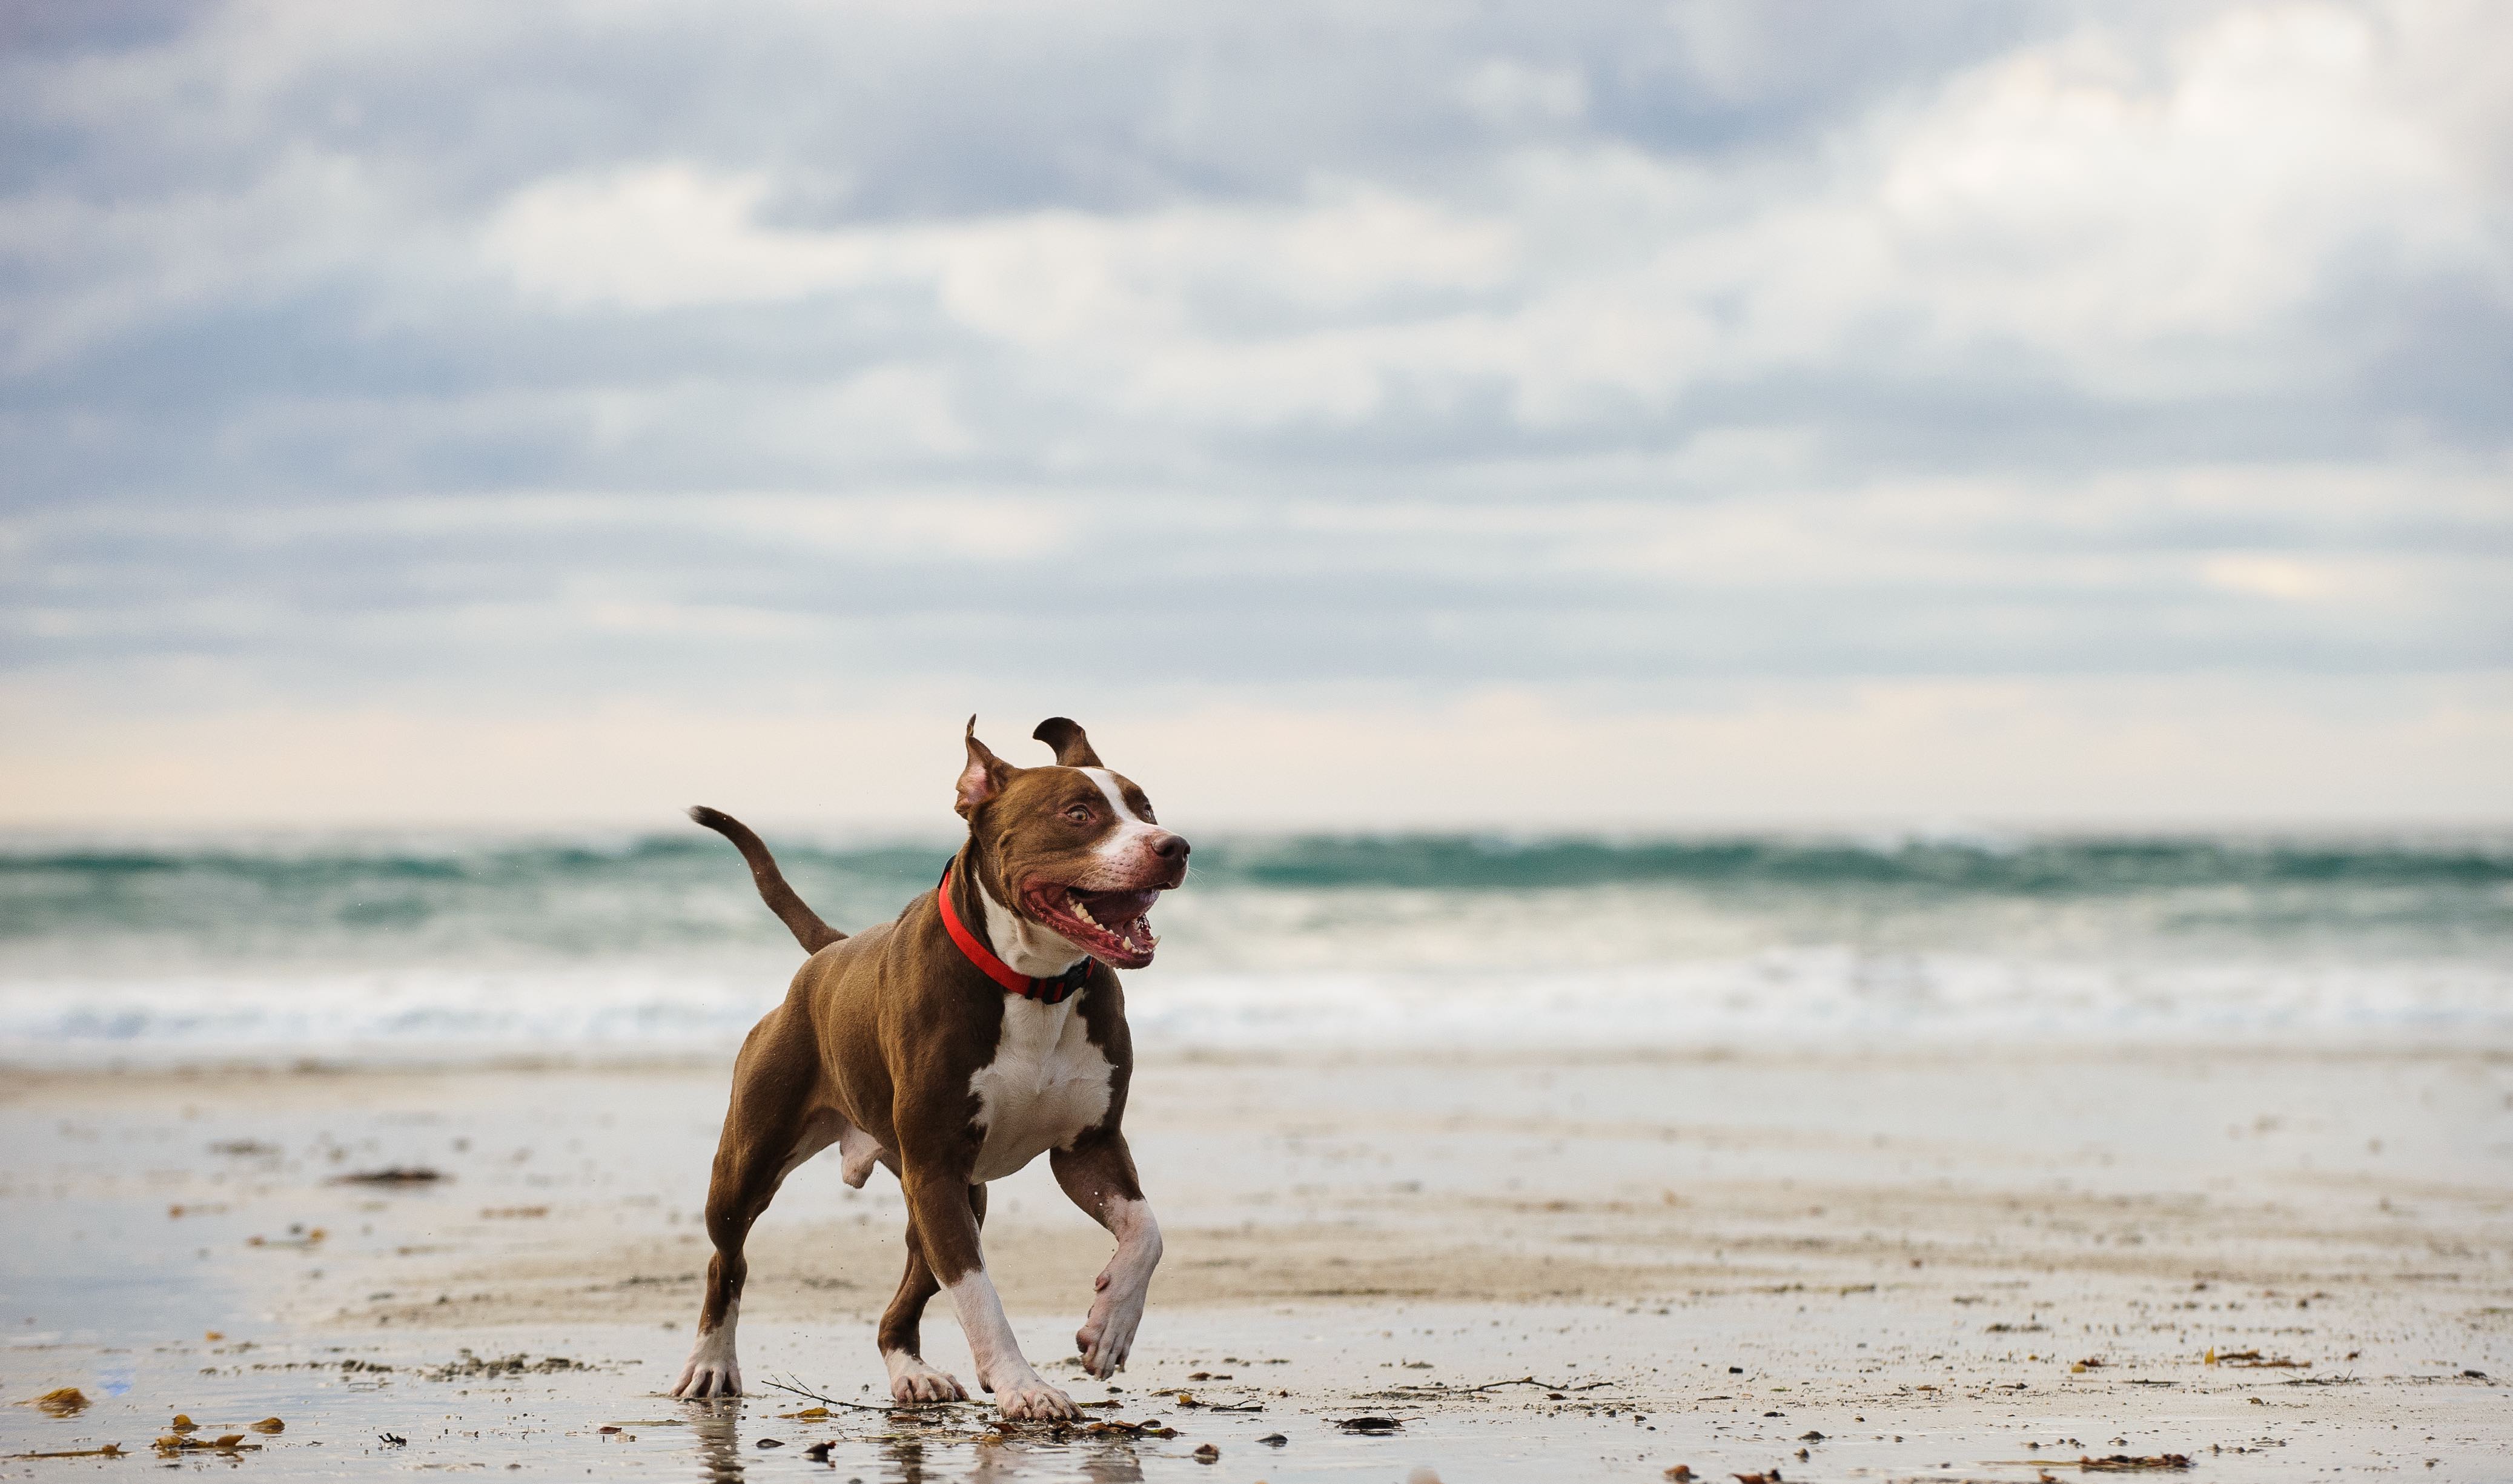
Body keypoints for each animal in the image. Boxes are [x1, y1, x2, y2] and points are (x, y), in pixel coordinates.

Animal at [663, 718, 1181, 1426]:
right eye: (1078, 813)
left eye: (1146, 807)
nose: (1174, 845)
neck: (1033, 983)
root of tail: (827, 953)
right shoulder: (936, 1168)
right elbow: (979, 1294)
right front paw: (1023, 1385)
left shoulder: (1089, 1148)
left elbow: (1146, 1232)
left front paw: (1110, 1326)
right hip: (752, 1162)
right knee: (727, 1260)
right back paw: (712, 1363)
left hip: (953, 1190)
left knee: (901, 1302)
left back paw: (912, 1373)